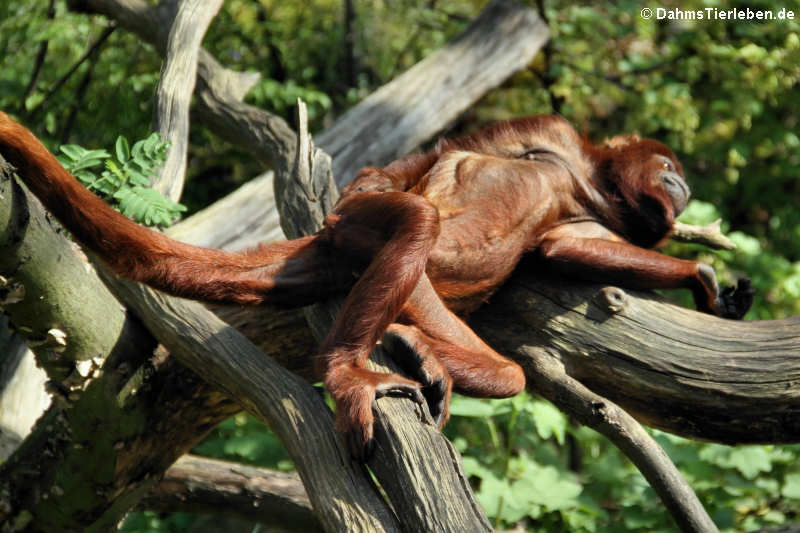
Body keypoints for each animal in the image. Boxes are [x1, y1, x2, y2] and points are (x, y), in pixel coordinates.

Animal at [0, 112, 752, 458]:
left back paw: (415, 349)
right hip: (369, 238)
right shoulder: (549, 132)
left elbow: (564, 246)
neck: (584, 176)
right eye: (670, 166)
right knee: (417, 217)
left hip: (425, 295)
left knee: (505, 370)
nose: (683, 185)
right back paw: (347, 366)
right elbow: (437, 158)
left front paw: (702, 276)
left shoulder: (588, 211)